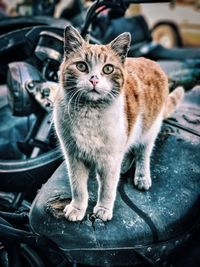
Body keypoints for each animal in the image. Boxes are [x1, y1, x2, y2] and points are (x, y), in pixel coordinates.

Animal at [53, 24, 184, 222]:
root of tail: (152, 61)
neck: (88, 114)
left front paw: (103, 209)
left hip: (148, 130)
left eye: (108, 69)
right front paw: (77, 208)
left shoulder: (109, 159)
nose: (94, 79)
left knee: (143, 154)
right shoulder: (74, 157)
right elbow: (78, 187)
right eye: (81, 66)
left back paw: (142, 176)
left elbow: (107, 188)